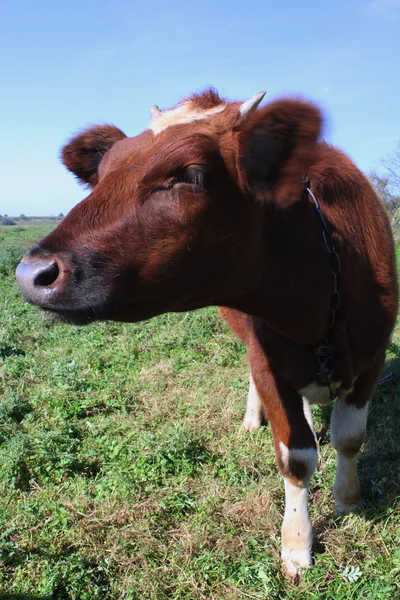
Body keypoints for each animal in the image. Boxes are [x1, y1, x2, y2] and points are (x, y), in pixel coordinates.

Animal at [14, 88, 396, 576]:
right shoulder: (267, 359)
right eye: (101, 174)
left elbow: (348, 438)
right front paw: (296, 542)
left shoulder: (371, 357)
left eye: (190, 174)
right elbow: (295, 455)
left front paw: (347, 499)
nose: (32, 273)